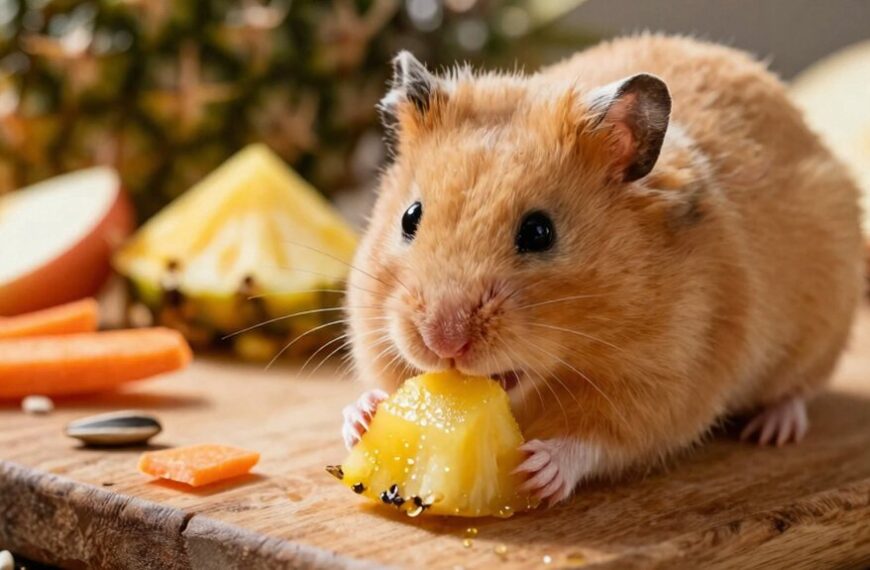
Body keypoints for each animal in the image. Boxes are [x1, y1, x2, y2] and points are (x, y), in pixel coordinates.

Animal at [340, 34, 865, 506]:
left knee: (797, 390)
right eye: (409, 217)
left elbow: (598, 442)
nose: (443, 341)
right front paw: (362, 416)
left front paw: (538, 468)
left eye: (539, 232)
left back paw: (773, 429)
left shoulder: (669, 384)